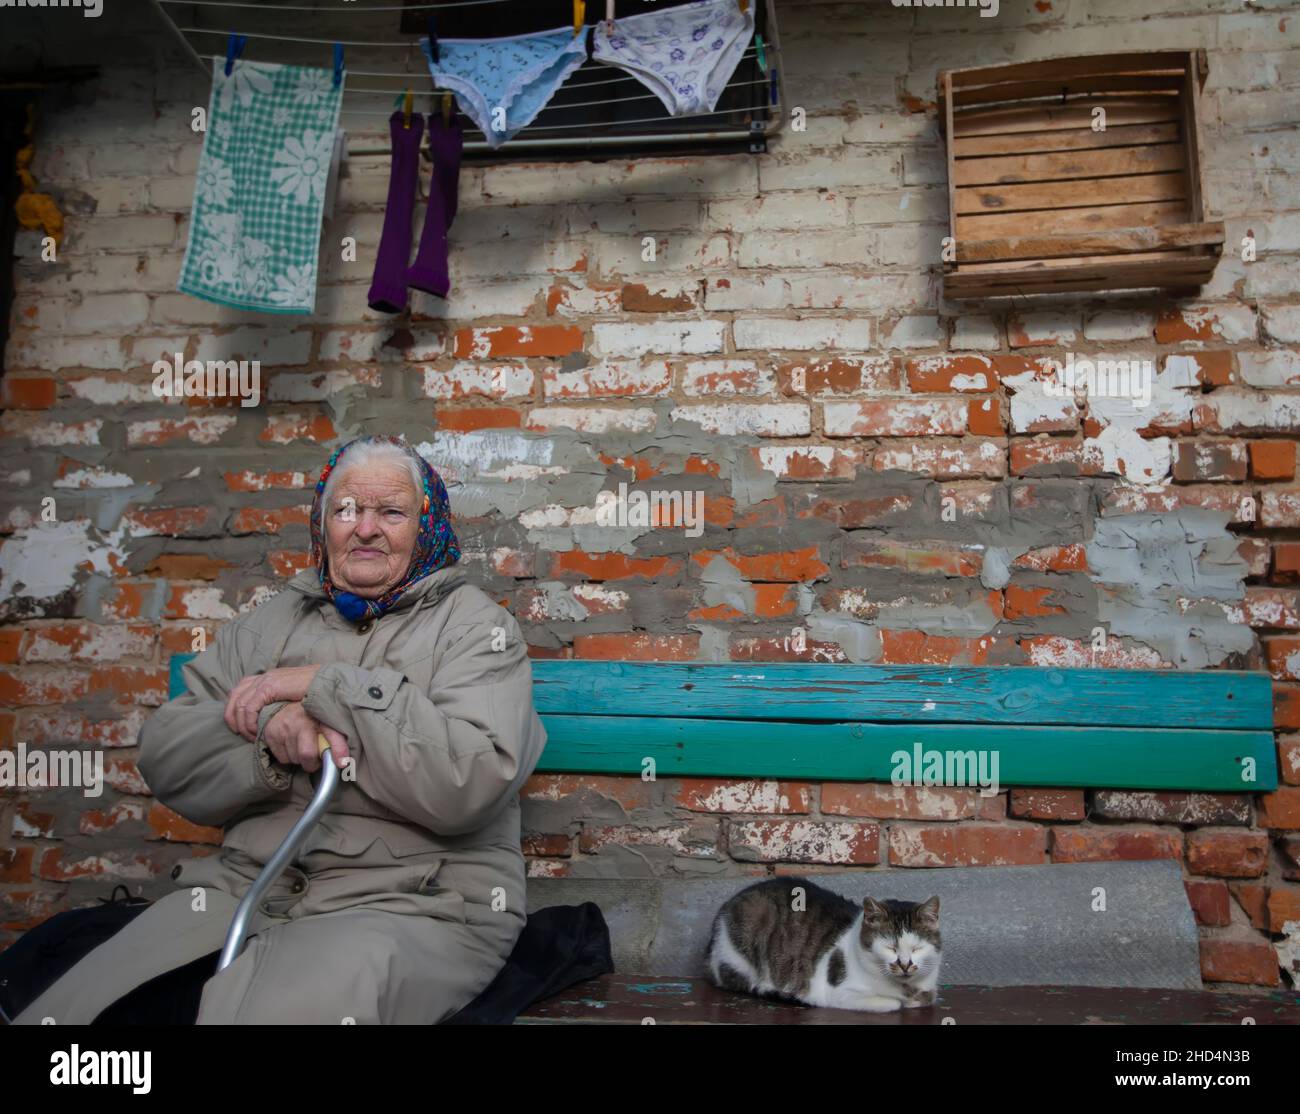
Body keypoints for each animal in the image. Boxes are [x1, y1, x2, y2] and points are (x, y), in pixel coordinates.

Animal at [707, 878, 941, 1008]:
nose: (905, 964)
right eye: (890, 947)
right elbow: (893, 1004)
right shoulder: (839, 993)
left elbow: (928, 996)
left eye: (917, 948)